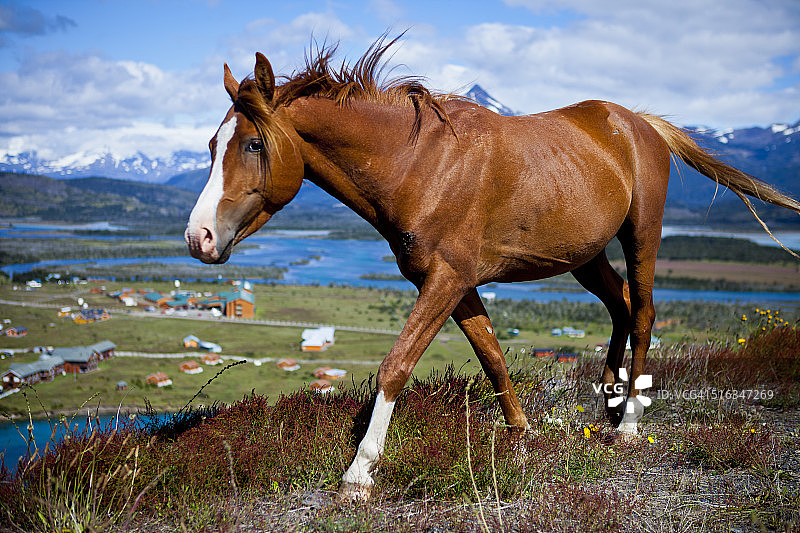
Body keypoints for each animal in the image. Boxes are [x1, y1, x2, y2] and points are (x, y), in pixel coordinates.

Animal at [185, 37, 800, 500]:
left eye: (254, 144)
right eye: (213, 144)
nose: (198, 238)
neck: (419, 165)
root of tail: (639, 123)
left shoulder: (447, 280)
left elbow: (396, 365)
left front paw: (359, 472)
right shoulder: (454, 285)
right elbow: (493, 356)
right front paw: (520, 436)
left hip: (640, 234)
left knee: (644, 312)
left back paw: (627, 423)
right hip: (585, 256)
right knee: (621, 306)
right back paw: (608, 402)